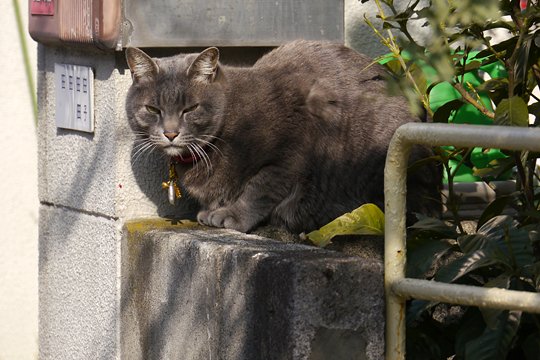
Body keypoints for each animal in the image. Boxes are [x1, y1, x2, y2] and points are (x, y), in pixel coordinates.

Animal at [127, 40, 442, 232]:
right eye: (153, 109)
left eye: (190, 109)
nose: (170, 133)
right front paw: (210, 209)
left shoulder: (291, 150)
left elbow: (259, 188)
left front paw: (231, 215)